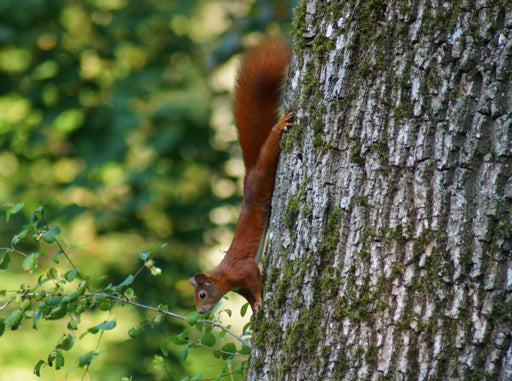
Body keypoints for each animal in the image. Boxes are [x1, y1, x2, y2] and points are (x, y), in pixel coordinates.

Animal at [188, 37, 292, 314]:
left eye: (202, 294)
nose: (199, 312)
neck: (225, 276)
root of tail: (249, 175)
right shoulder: (239, 285)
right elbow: (247, 295)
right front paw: (255, 310)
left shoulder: (243, 269)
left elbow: (256, 281)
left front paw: (260, 300)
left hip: (264, 173)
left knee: (269, 149)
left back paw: (278, 127)